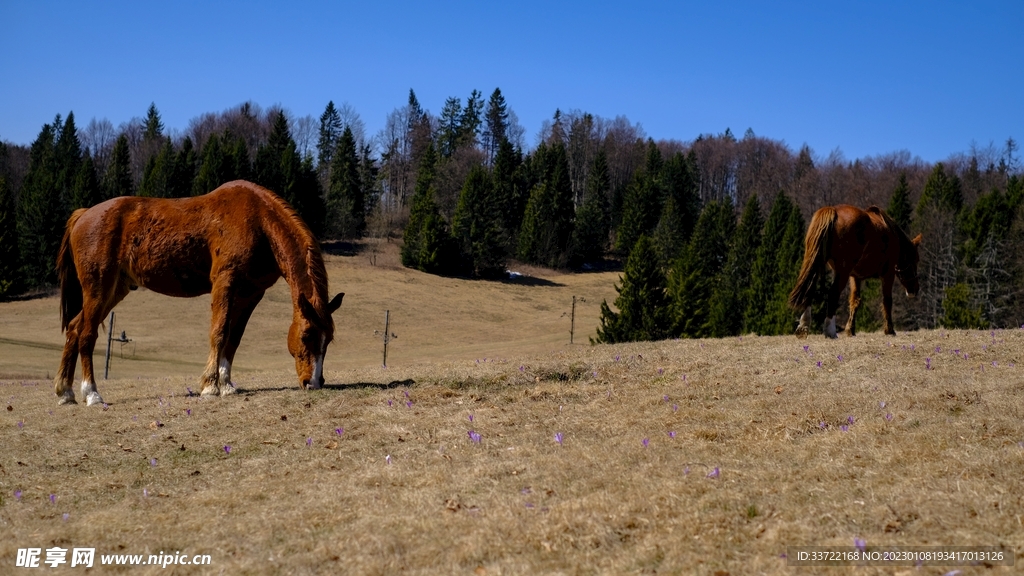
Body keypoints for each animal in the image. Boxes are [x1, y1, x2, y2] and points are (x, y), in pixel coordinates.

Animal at [54, 180, 344, 406]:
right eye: (306, 335)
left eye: (328, 340)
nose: (314, 382)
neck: (259, 221)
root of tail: (83, 215)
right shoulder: (225, 282)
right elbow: (219, 332)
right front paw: (211, 386)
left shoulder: (251, 294)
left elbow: (234, 338)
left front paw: (226, 384)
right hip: (98, 288)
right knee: (86, 334)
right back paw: (91, 394)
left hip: (116, 289)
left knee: (74, 328)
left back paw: (66, 392)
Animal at [788, 205, 921, 338]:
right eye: (915, 260)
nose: (914, 290)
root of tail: (833, 211)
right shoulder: (888, 275)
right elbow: (887, 301)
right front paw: (889, 330)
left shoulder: (855, 277)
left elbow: (855, 301)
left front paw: (850, 329)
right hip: (842, 272)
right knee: (833, 293)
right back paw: (830, 330)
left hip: (817, 262)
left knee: (810, 288)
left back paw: (804, 324)